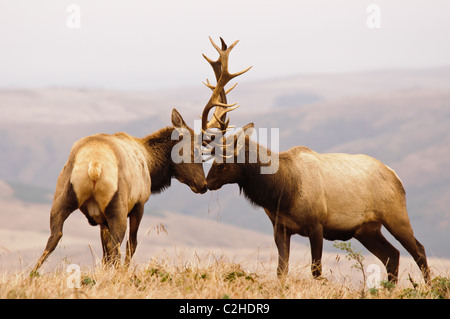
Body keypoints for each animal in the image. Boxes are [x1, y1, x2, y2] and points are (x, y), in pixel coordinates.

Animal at [32, 109, 207, 272]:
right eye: (196, 150)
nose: (204, 185)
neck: (150, 164)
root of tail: (94, 164)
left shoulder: (101, 218)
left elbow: (105, 252)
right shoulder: (139, 204)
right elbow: (131, 243)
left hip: (62, 197)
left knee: (54, 237)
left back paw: (31, 274)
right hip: (118, 206)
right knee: (116, 246)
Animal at [200, 38, 428, 284]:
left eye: (223, 160)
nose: (206, 183)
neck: (282, 193)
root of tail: (396, 176)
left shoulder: (317, 224)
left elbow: (316, 271)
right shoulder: (280, 227)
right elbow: (281, 270)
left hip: (396, 214)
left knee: (418, 250)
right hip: (366, 229)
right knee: (392, 256)